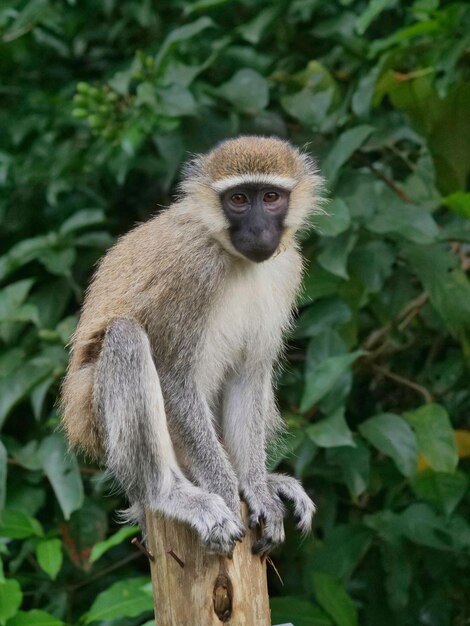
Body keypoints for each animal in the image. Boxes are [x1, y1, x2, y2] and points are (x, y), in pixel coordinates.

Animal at [61, 134, 324, 552]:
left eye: (270, 197)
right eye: (238, 199)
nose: (257, 229)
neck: (229, 253)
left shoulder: (286, 269)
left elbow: (249, 374)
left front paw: (256, 488)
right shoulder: (191, 272)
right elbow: (173, 379)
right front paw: (226, 491)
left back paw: (268, 481)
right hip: (95, 422)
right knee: (125, 338)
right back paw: (167, 495)